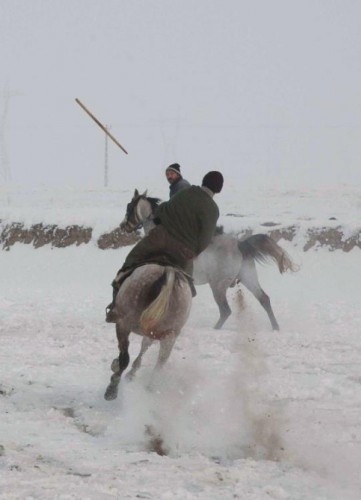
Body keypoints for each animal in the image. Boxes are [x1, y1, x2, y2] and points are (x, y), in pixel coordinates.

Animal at [104, 264, 191, 400]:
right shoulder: (154, 333)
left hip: (124, 323)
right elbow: (145, 346)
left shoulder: (124, 324)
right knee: (159, 364)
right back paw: (149, 386)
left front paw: (116, 366)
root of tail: (167, 271)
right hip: (169, 336)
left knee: (125, 358)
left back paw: (112, 389)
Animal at [119, 189, 296, 330]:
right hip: (248, 277)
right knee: (264, 299)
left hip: (218, 285)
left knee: (225, 310)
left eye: (129, 207)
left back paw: (215, 329)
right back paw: (275, 327)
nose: (123, 226)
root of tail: (240, 245)